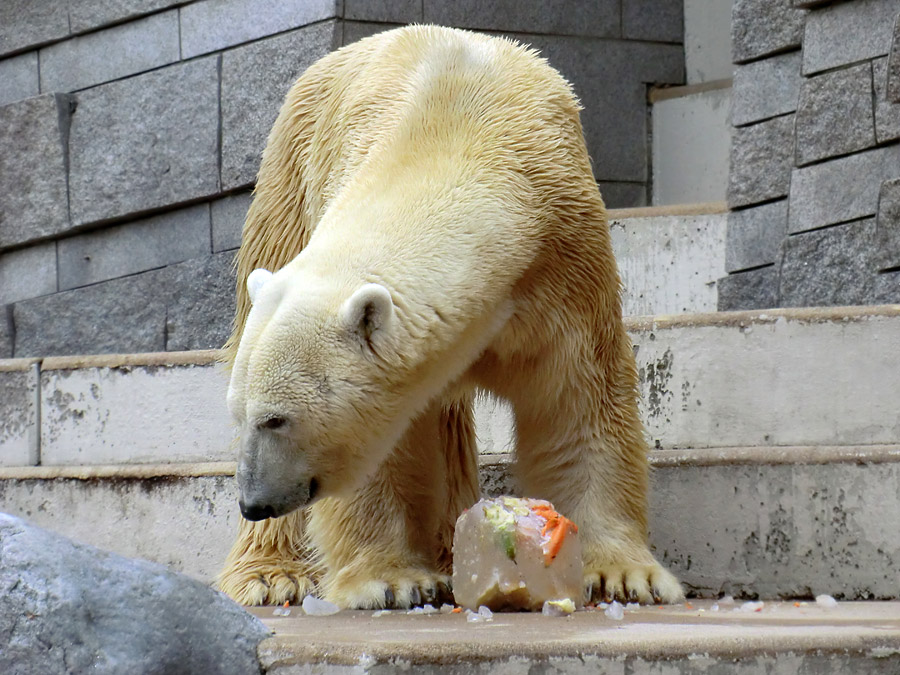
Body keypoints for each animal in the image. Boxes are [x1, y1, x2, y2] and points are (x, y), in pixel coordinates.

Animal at [218, 25, 684, 612]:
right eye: (243, 417)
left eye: (276, 419)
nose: (252, 501)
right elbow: (385, 440)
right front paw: (391, 580)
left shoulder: (565, 259)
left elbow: (578, 396)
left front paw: (625, 575)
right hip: (288, 183)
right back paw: (273, 574)